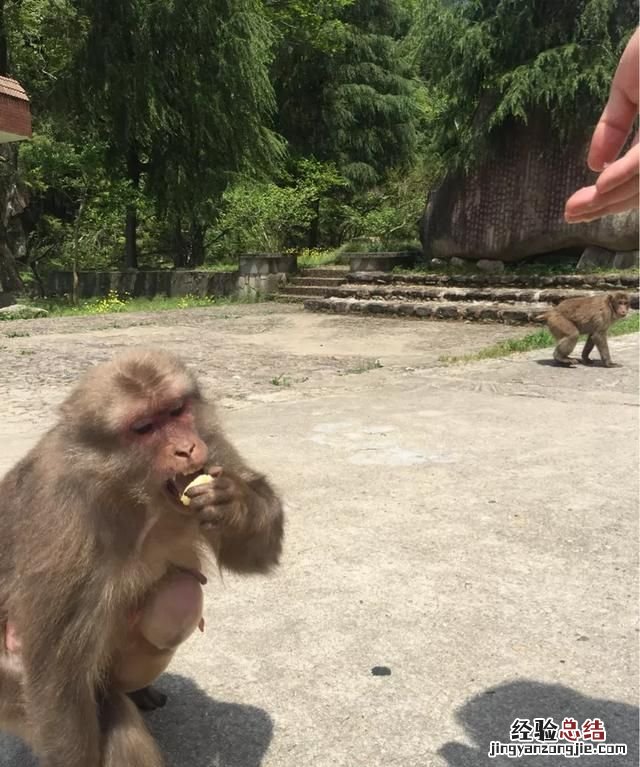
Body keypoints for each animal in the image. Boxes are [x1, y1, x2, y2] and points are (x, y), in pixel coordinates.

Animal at [0, 352, 284, 767]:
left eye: (176, 411)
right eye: (144, 427)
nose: (186, 449)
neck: (132, 493)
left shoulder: (210, 440)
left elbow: (256, 552)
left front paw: (235, 503)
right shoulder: (61, 521)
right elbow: (57, 680)